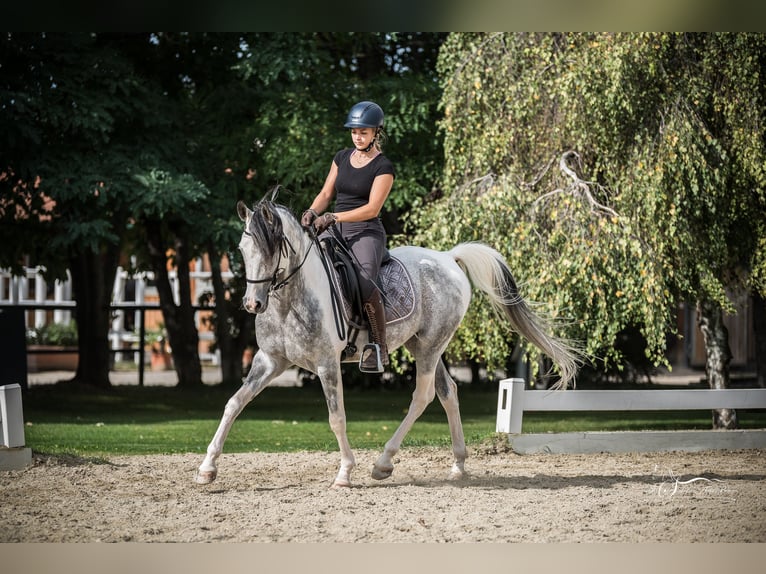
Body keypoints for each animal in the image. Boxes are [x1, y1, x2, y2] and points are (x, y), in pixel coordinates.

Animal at [196, 199, 581, 487]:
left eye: (272, 248)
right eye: (242, 248)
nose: (252, 304)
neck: (291, 298)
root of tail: (447, 257)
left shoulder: (326, 364)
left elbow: (337, 418)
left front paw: (345, 472)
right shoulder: (269, 360)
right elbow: (233, 403)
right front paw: (207, 469)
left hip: (429, 348)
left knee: (423, 396)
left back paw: (383, 462)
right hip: (424, 346)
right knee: (448, 392)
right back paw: (457, 465)